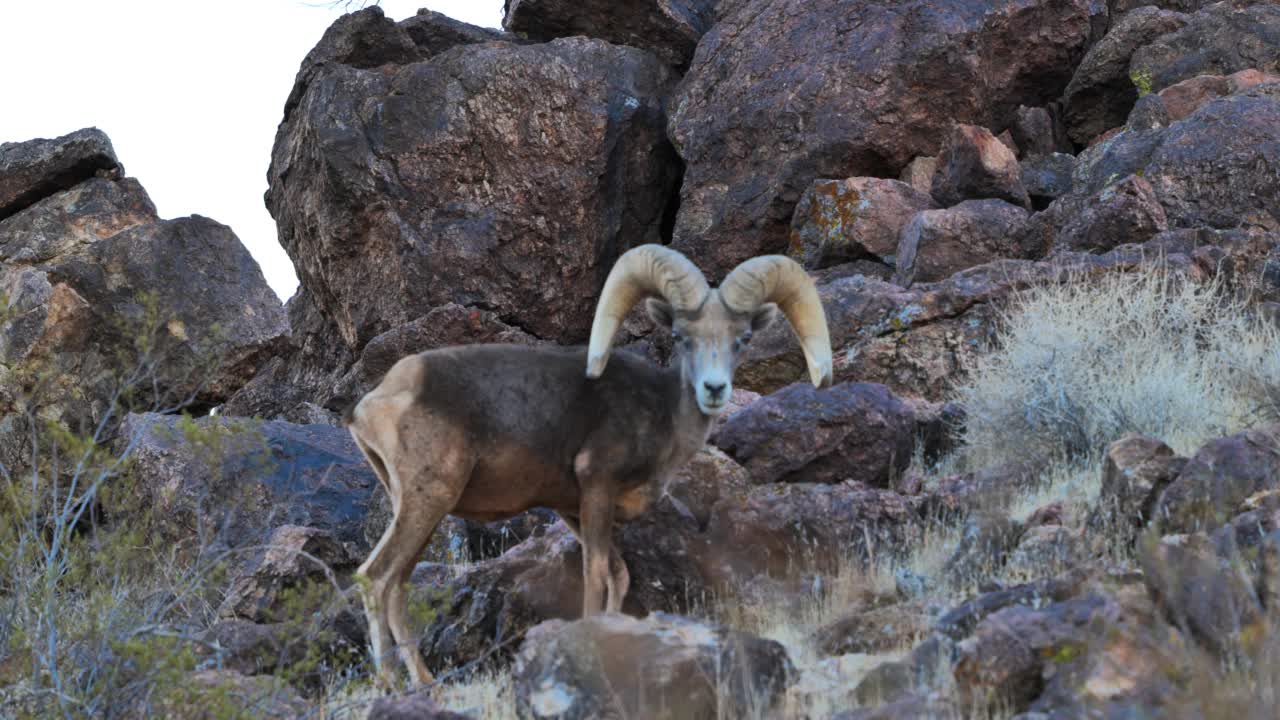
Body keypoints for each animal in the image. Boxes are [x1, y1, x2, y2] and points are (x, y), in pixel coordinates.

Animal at [345, 242, 834, 681]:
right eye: (681, 337)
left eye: (742, 339)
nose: (714, 389)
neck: (662, 414)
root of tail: (374, 403)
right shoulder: (596, 489)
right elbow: (597, 574)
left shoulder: (574, 509)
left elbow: (619, 576)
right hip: (428, 500)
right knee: (377, 578)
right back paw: (391, 684)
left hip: (420, 509)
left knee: (397, 587)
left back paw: (422, 682)